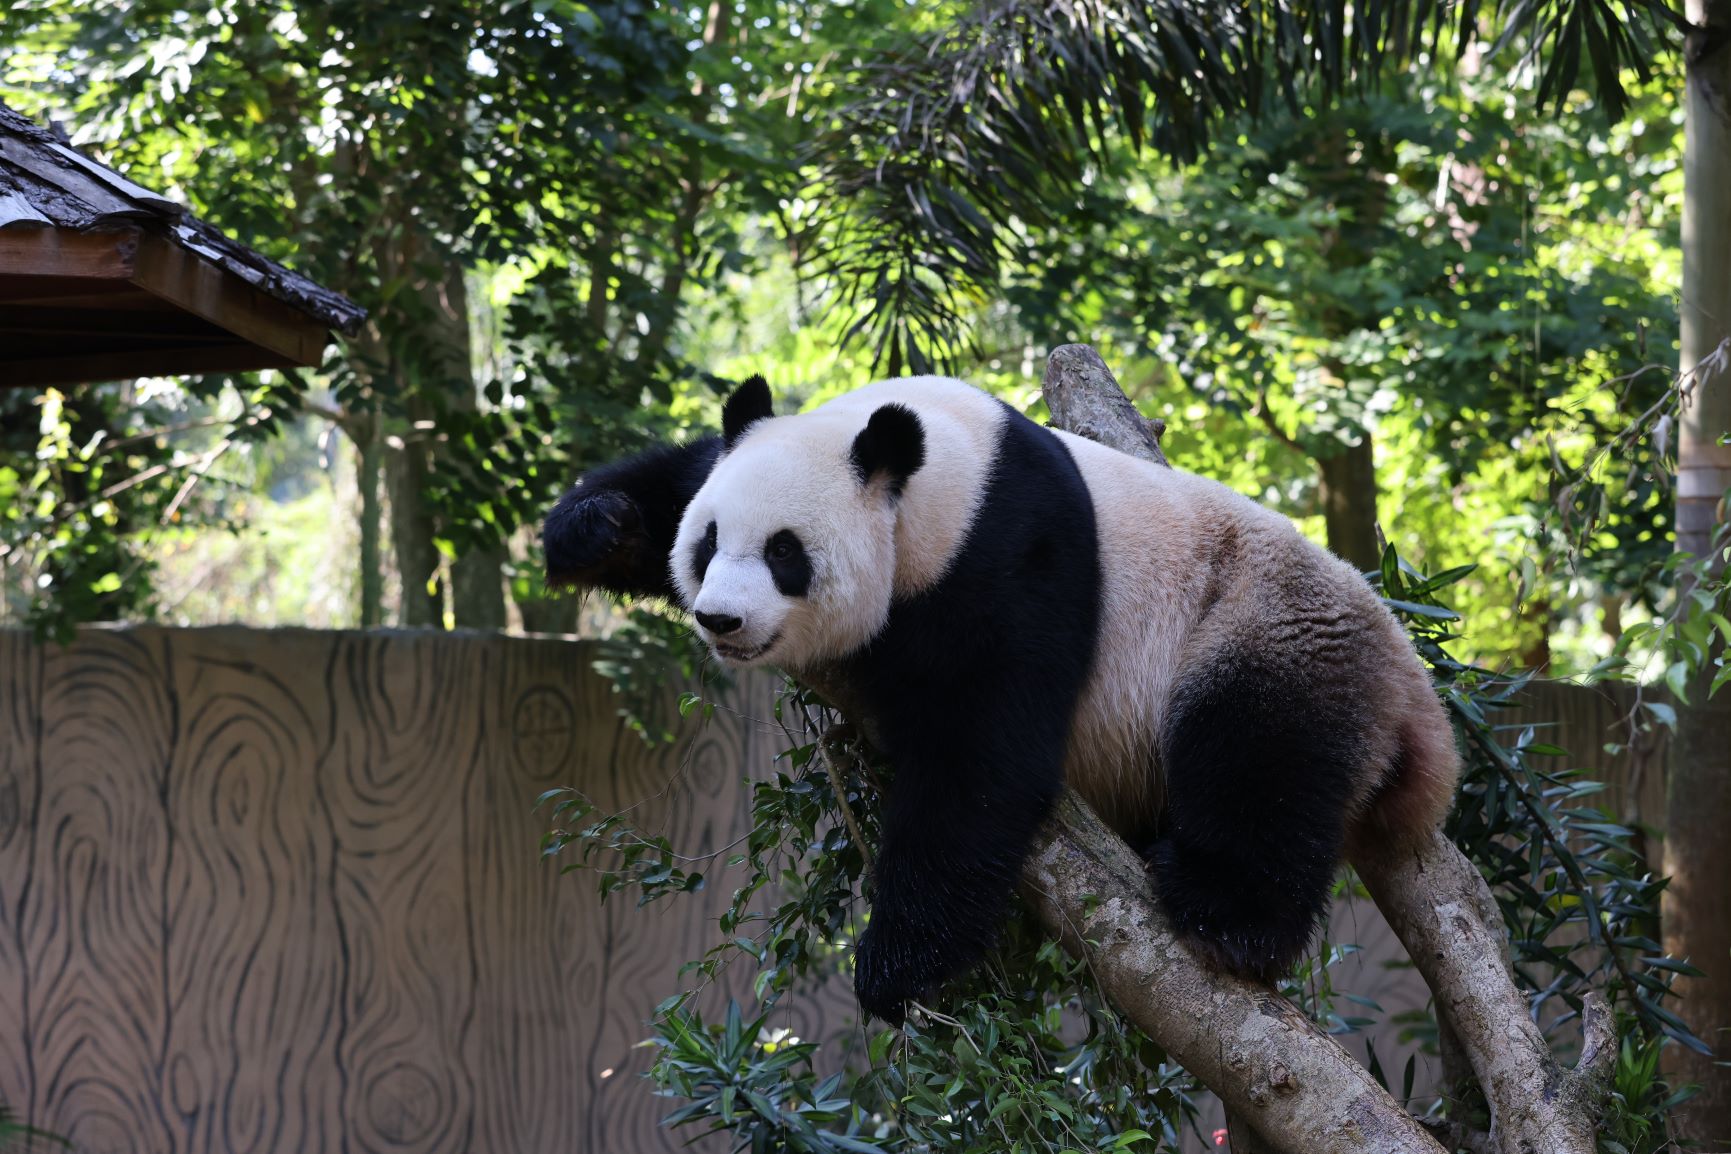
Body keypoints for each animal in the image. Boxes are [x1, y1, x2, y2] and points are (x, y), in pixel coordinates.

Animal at [543, 371, 1460, 1017]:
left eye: (784, 553)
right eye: (706, 541)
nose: (721, 619)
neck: (944, 472)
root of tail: (1413, 694)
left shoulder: (1015, 559)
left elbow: (982, 756)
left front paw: (896, 967)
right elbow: (675, 474)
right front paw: (598, 528)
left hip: (1266, 621)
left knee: (1260, 753)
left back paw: (1224, 914)